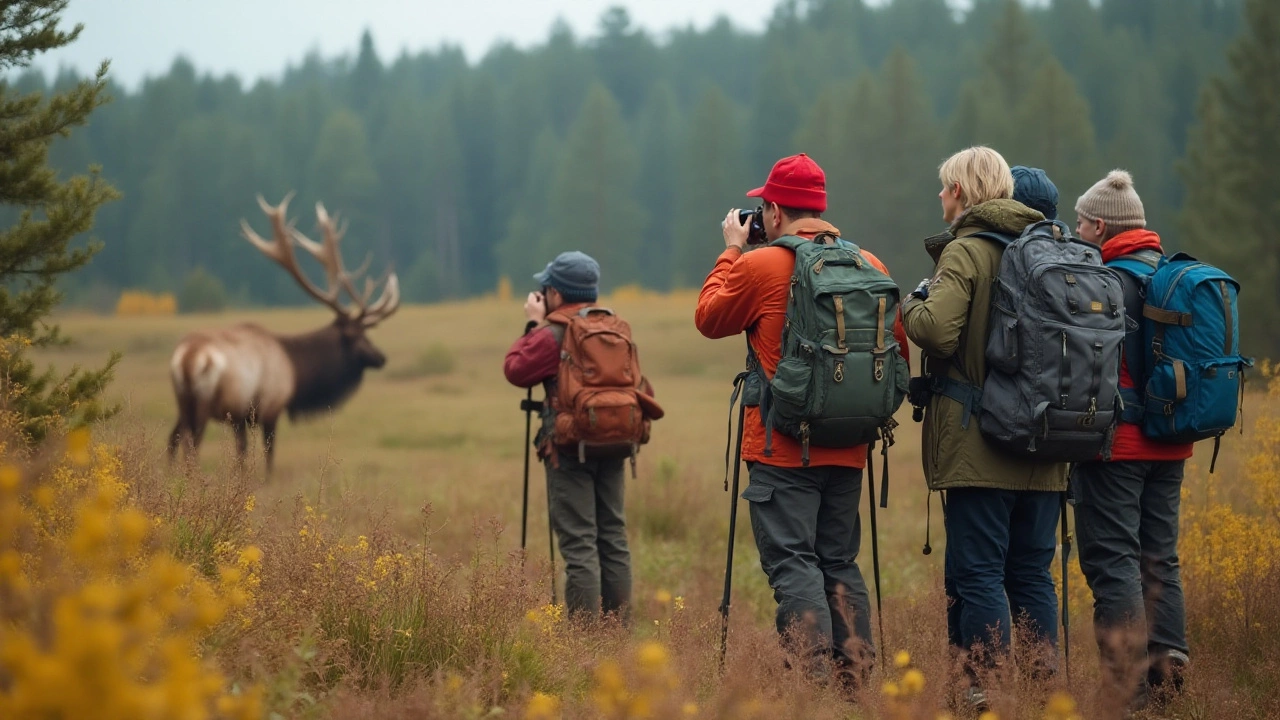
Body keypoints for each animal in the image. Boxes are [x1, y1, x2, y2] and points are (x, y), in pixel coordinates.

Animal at [170, 190, 396, 474]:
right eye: (358, 336)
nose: (381, 357)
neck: (295, 368)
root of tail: (187, 357)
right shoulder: (270, 406)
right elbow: (266, 456)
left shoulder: (241, 416)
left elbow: (242, 454)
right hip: (202, 402)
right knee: (191, 443)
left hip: (182, 401)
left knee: (173, 439)